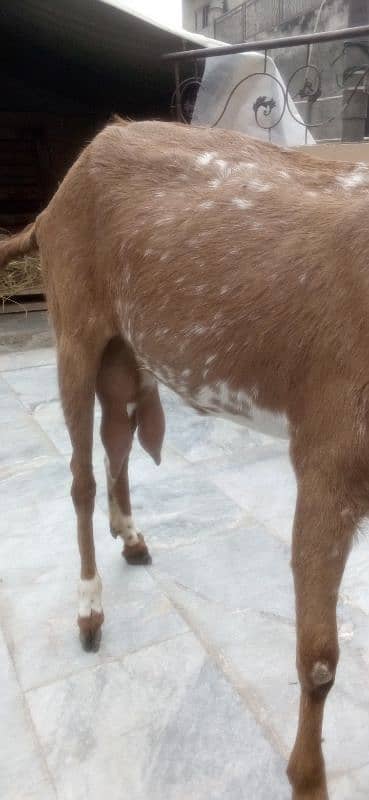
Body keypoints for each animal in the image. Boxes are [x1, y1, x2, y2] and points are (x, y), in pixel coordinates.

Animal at [0, 120, 368, 800]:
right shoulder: (330, 454)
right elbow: (319, 658)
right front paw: (307, 780)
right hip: (74, 323)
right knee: (80, 477)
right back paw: (89, 610)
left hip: (125, 349)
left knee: (118, 435)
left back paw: (131, 536)